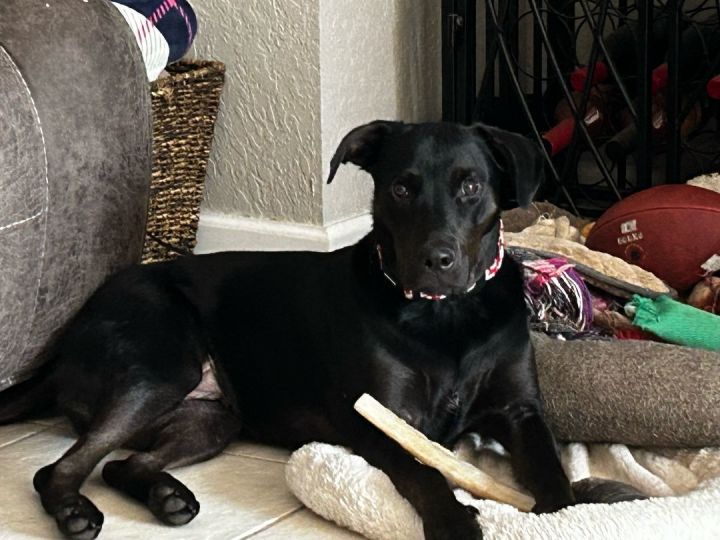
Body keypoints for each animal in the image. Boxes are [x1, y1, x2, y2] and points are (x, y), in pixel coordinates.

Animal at [0, 120, 572, 536]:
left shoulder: (520, 411)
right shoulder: (378, 417)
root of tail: (67, 339)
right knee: (59, 468)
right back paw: (75, 510)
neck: (446, 315)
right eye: (401, 188)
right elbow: (424, 471)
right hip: (161, 369)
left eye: (471, 185)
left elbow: (551, 470)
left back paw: (167, 496)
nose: (437, 260)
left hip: (213, 418)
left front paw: (563, 513)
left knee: (121, 465)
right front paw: (454, 521)